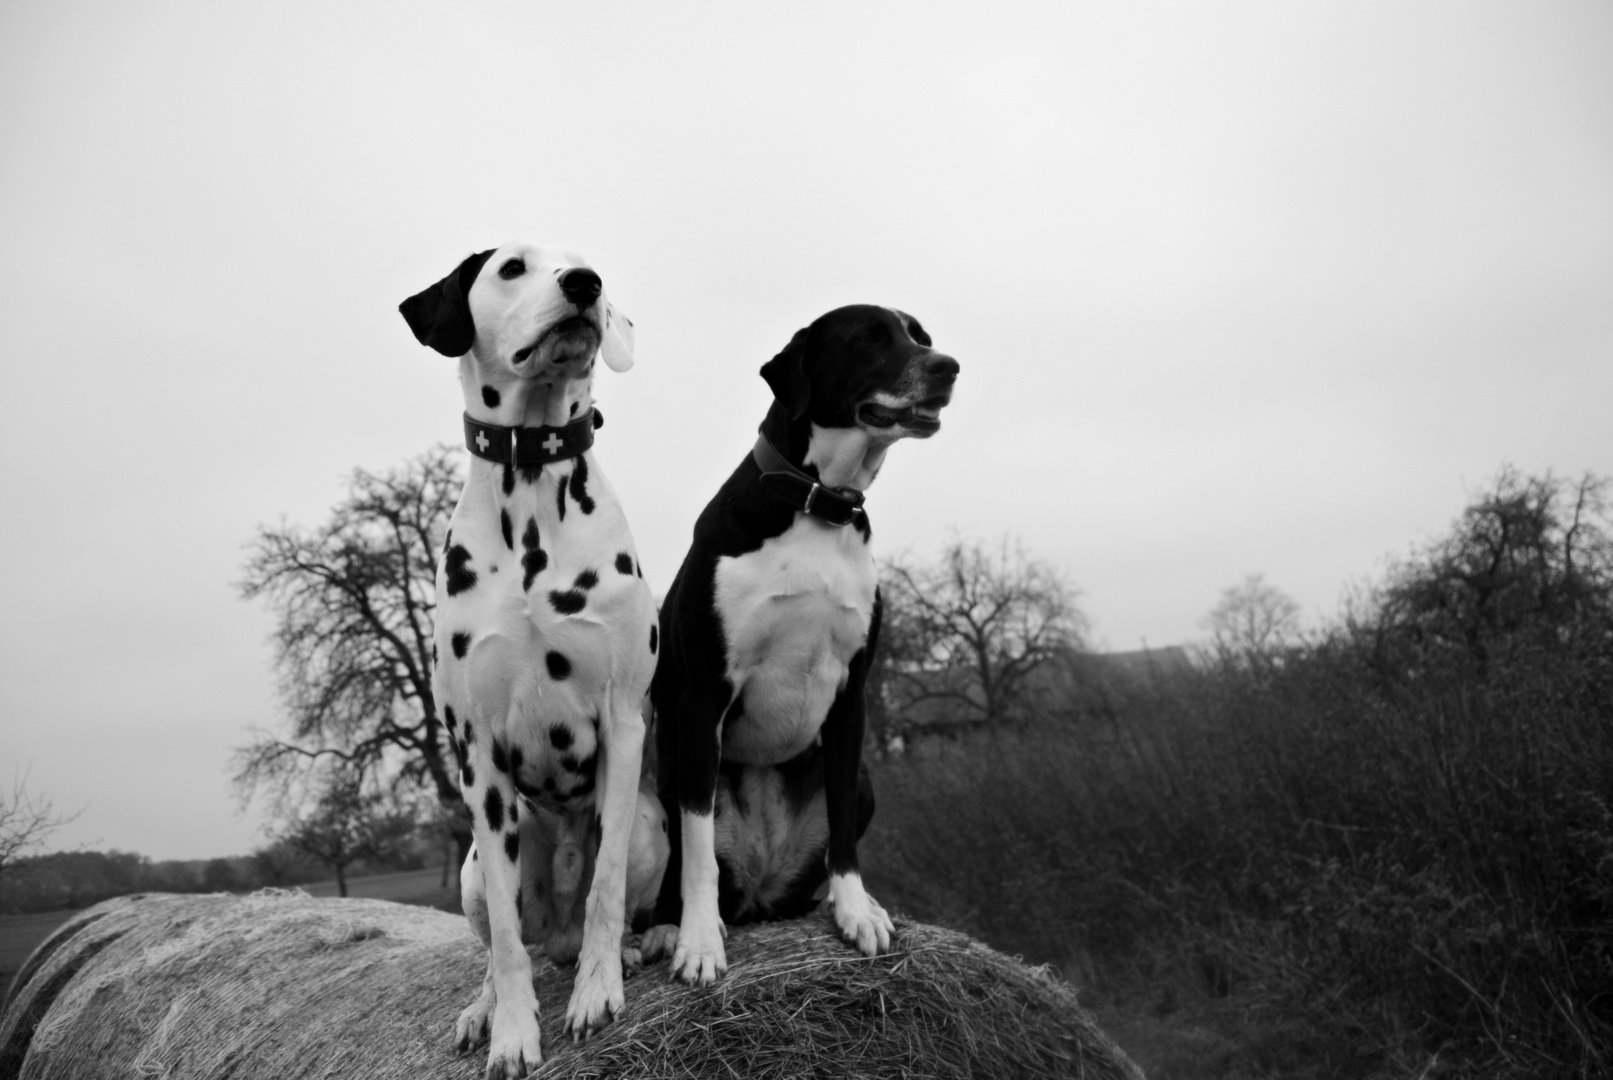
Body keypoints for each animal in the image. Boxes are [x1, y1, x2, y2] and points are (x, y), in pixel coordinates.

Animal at [403, 245, 667, 1080]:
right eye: (512, 267)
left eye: (588, 264)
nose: (584, 285)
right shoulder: (478, 757)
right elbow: (505, 942)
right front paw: (514, 1033)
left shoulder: (622, 723)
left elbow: (604, 887)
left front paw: (598, 992)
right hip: (470, 868)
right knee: (503, 943)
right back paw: (483, 1007)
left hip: (651, 824)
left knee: (610, 910)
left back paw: (637, 949)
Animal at [638, 304, 954, 992]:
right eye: (869, 339)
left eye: (920, 334)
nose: (948, 366)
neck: (817, 504)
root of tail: (760, 886)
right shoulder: (703, 698)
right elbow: (696, 850)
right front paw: (698, 942)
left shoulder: (852, 695)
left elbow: (844, 837)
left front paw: (856, 910)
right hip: (664, 779)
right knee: (687, 856)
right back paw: (671, 926)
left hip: (862, 782)